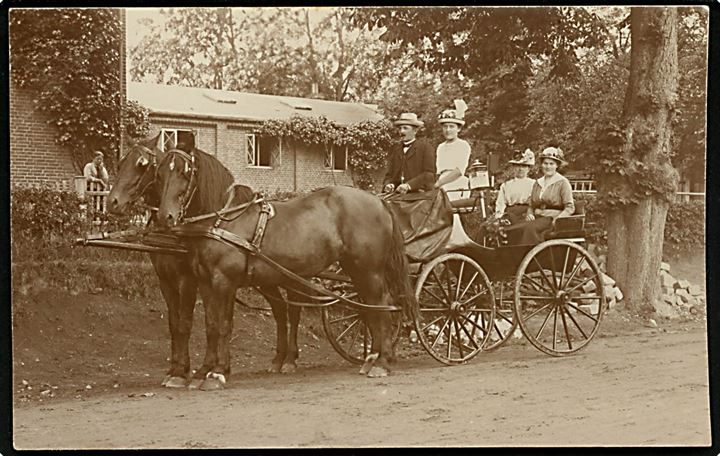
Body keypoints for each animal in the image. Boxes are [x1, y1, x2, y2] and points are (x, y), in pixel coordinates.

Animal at [106, 137, 300, 390]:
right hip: (267, 278)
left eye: (142, 165)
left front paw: (186, 372)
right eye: (120, 163)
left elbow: (188, 323)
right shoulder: (166, 280)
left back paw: (291, 360)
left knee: (294, 311)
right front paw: (180, 369)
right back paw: (278, 359)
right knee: (280, 310)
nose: (112, 202)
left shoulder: (189, 279)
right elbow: (178, 323)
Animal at [157, 148, 416, 386]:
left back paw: (381, 362)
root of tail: (379, 200)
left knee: (381, 304)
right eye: (160, 173)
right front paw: (203, 371)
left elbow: (222, 325)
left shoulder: (224, 281)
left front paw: (218, 373)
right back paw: (372, 358)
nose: (165, 217)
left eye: (185, 172)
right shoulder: (205, 281)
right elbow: (210, 324)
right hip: (356, 271)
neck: (223, 220)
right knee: (370, 308)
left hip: (369, 270)